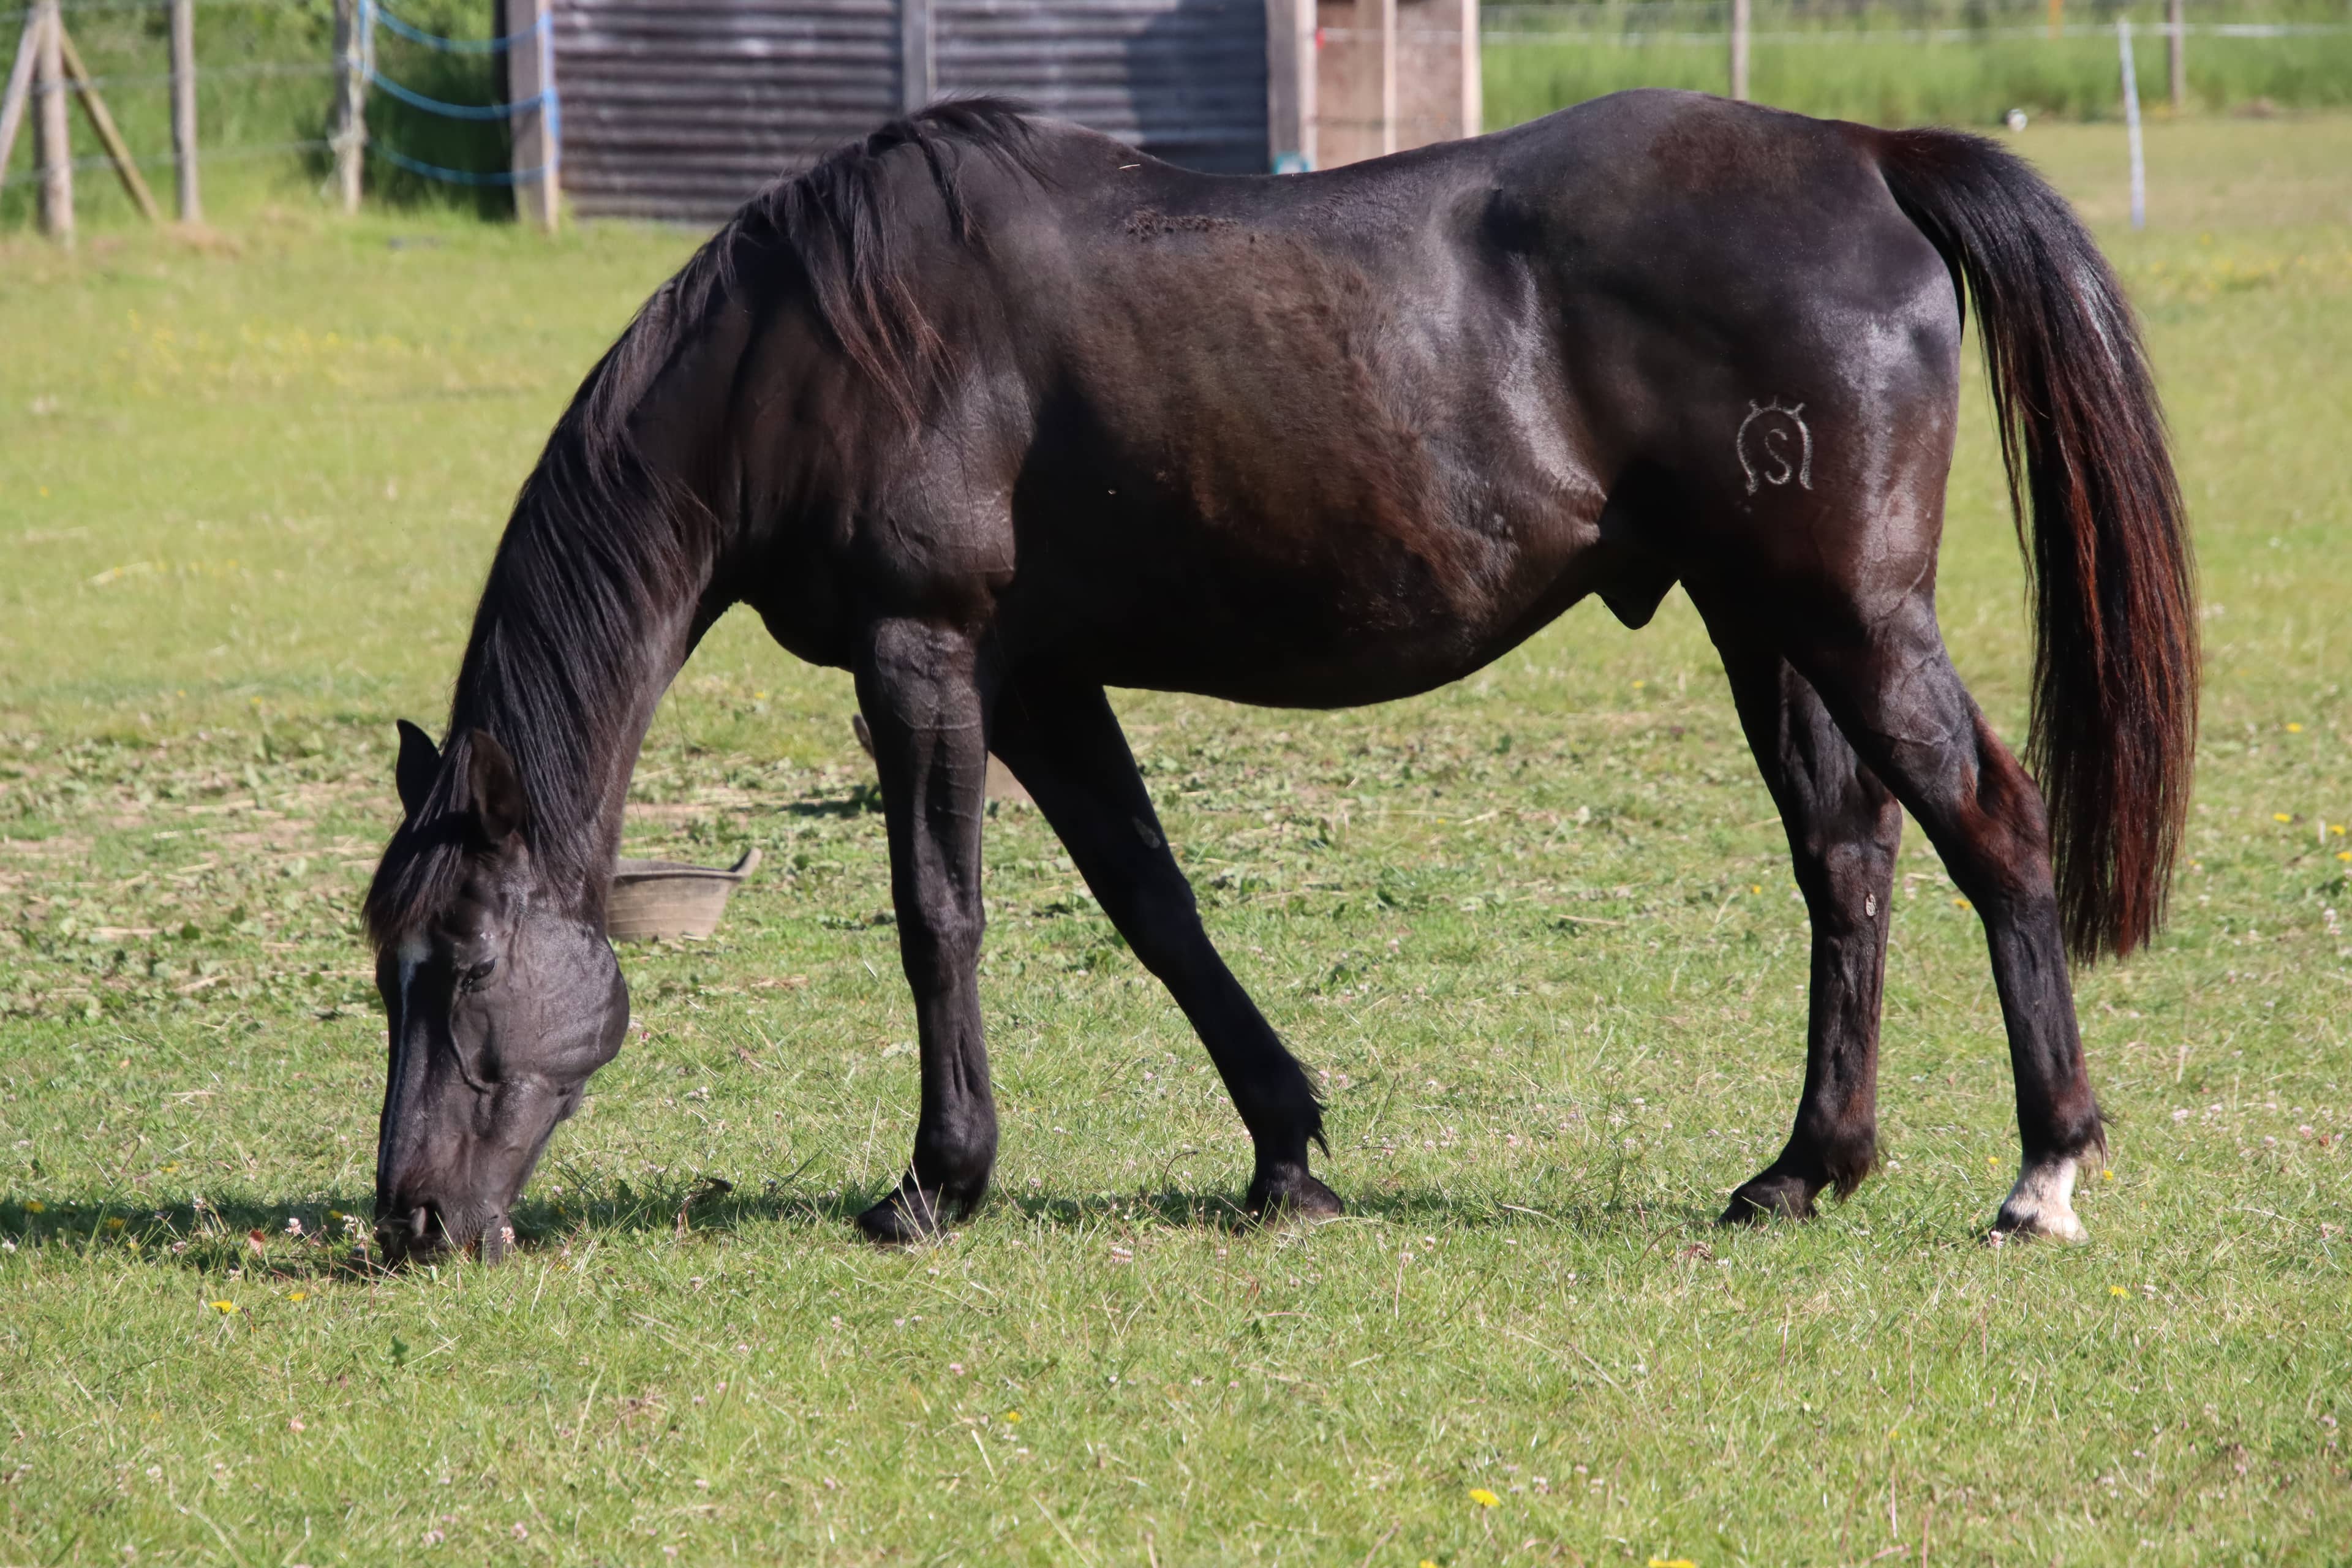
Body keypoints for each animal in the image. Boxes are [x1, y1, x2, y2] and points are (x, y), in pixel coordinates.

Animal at [362, 91, 2195, 1262]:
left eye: (459, 970)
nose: (412, 1218)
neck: (813, 345)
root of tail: (1864, 157)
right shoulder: (1043, 684)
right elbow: (1154, 906)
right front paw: (1286, 1151)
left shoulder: (925, 656)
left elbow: (936, 915)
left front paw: (937, 1181)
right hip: (1769, 625)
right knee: (1848, 861)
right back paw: (1805, 1169)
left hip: (1850, 617)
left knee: (1992, 832)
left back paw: (2041, 1171)